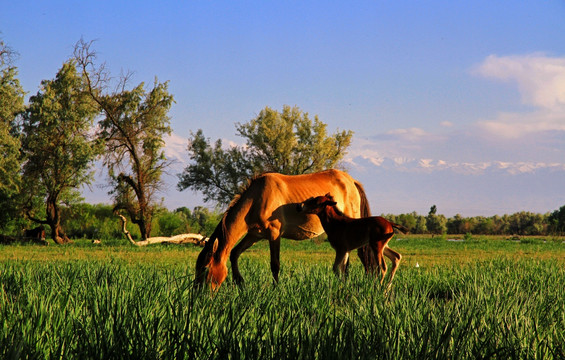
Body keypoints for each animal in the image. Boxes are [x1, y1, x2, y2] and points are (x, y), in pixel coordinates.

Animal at [194, 169, 374, 290]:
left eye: (205, 269)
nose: (198, 293)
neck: (257, 199)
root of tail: (351, 181)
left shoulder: (274, 235)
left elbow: (275, 265)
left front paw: (276, 288)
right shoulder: (254, 235)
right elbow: (234, 253)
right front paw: (240, 282)